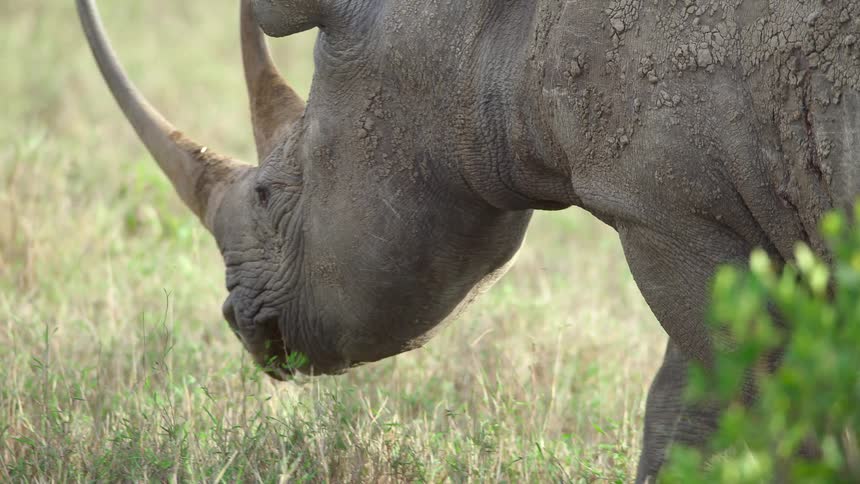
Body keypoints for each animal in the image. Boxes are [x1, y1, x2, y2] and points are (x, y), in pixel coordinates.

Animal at [77, 0, 859, 480]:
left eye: (270, 197)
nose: (236, 321)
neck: (476, 28)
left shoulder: (670, 210)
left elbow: (763, 401)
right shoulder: (695, 216)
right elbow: (686, 409)